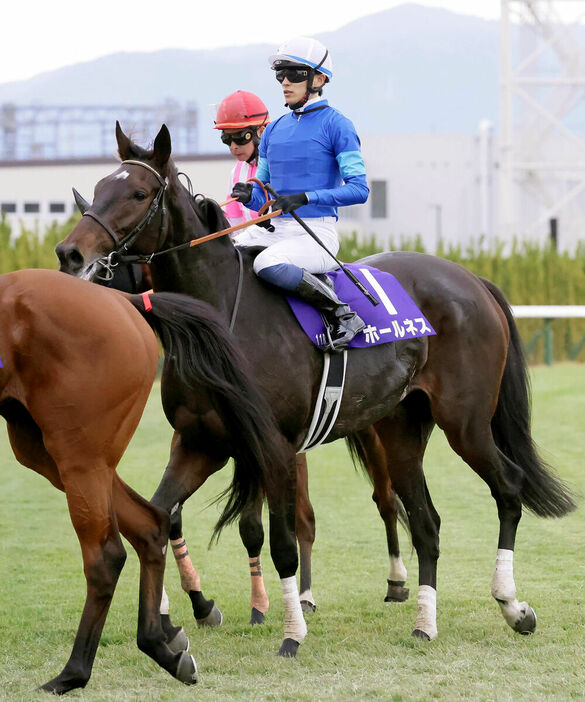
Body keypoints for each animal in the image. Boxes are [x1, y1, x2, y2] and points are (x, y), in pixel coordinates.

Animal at [0, 268, 286, 692]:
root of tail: (124, 301)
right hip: (48, 449)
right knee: (152, 524)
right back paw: (161, 645)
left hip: (78, 454)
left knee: (106, 556)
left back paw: (74, 672)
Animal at [56, 124, 576, 656]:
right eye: (98, 187)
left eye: (138, 194)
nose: (70, 254)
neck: (221, 315)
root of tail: (471, 278)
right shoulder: (201, 443)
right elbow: (160, 515)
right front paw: (183, 612)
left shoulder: (275, 448)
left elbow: (283, 541)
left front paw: (291, 631)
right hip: (401, 429)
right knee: (425, 522)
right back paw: (425, 623)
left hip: (465, 422)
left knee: (507, 487)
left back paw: (512, 605)